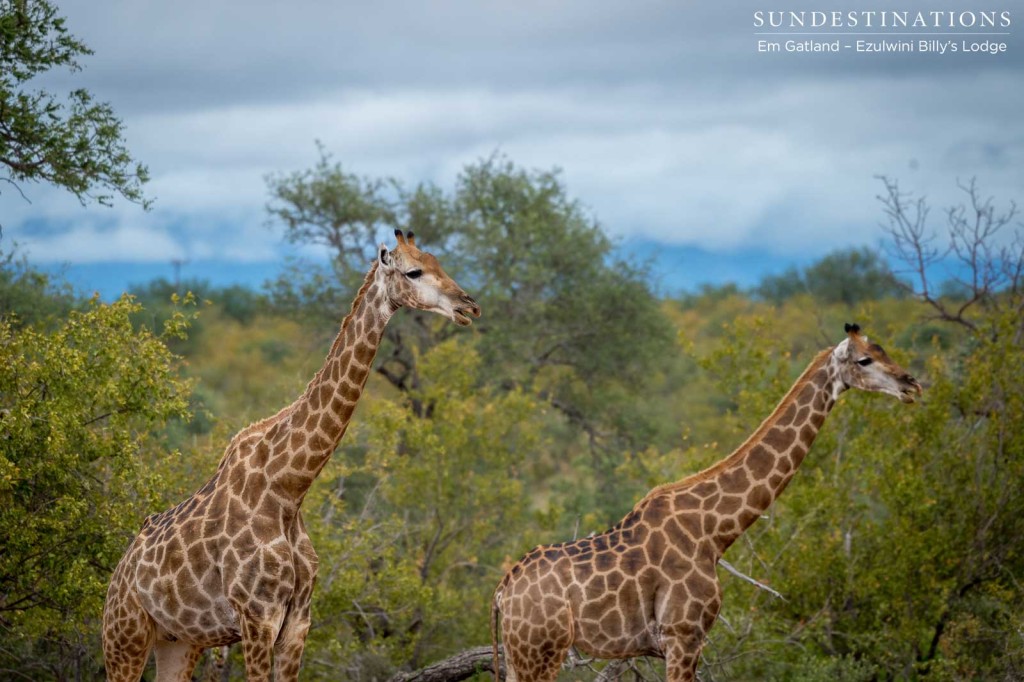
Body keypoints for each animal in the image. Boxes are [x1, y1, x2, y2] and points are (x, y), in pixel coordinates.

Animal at [101, 229, 477, 679]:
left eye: (439, 262)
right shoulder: (256, 617)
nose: (468, 306)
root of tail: (119, 571)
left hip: (179, 641)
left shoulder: (298, 621)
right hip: (125, 636)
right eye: (413, 271)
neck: (289, 487)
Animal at [491, 323, 925, 679]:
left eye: (884, 350)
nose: (912, 385)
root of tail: (502, 592)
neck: (715, 532)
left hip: (518, 655)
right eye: (865, 359)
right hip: (540, 651)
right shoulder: (683, 635)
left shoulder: (677, 643)